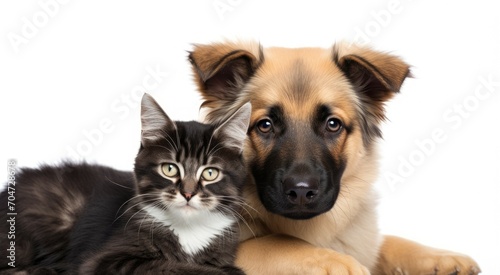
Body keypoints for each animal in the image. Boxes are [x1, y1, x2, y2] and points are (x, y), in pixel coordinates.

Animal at [0, 94, 250, 274]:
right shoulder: (105, 260)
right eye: (169, 169)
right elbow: (171, 267)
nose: (188, 193)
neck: (188, 229)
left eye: (210, 173)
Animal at [188, 41, 480, 275]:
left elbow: (384, 242)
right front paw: (336, 261)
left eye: (332, 124)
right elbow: (276, 243)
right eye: (265, 125)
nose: (301, 191)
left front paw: (438, 256)